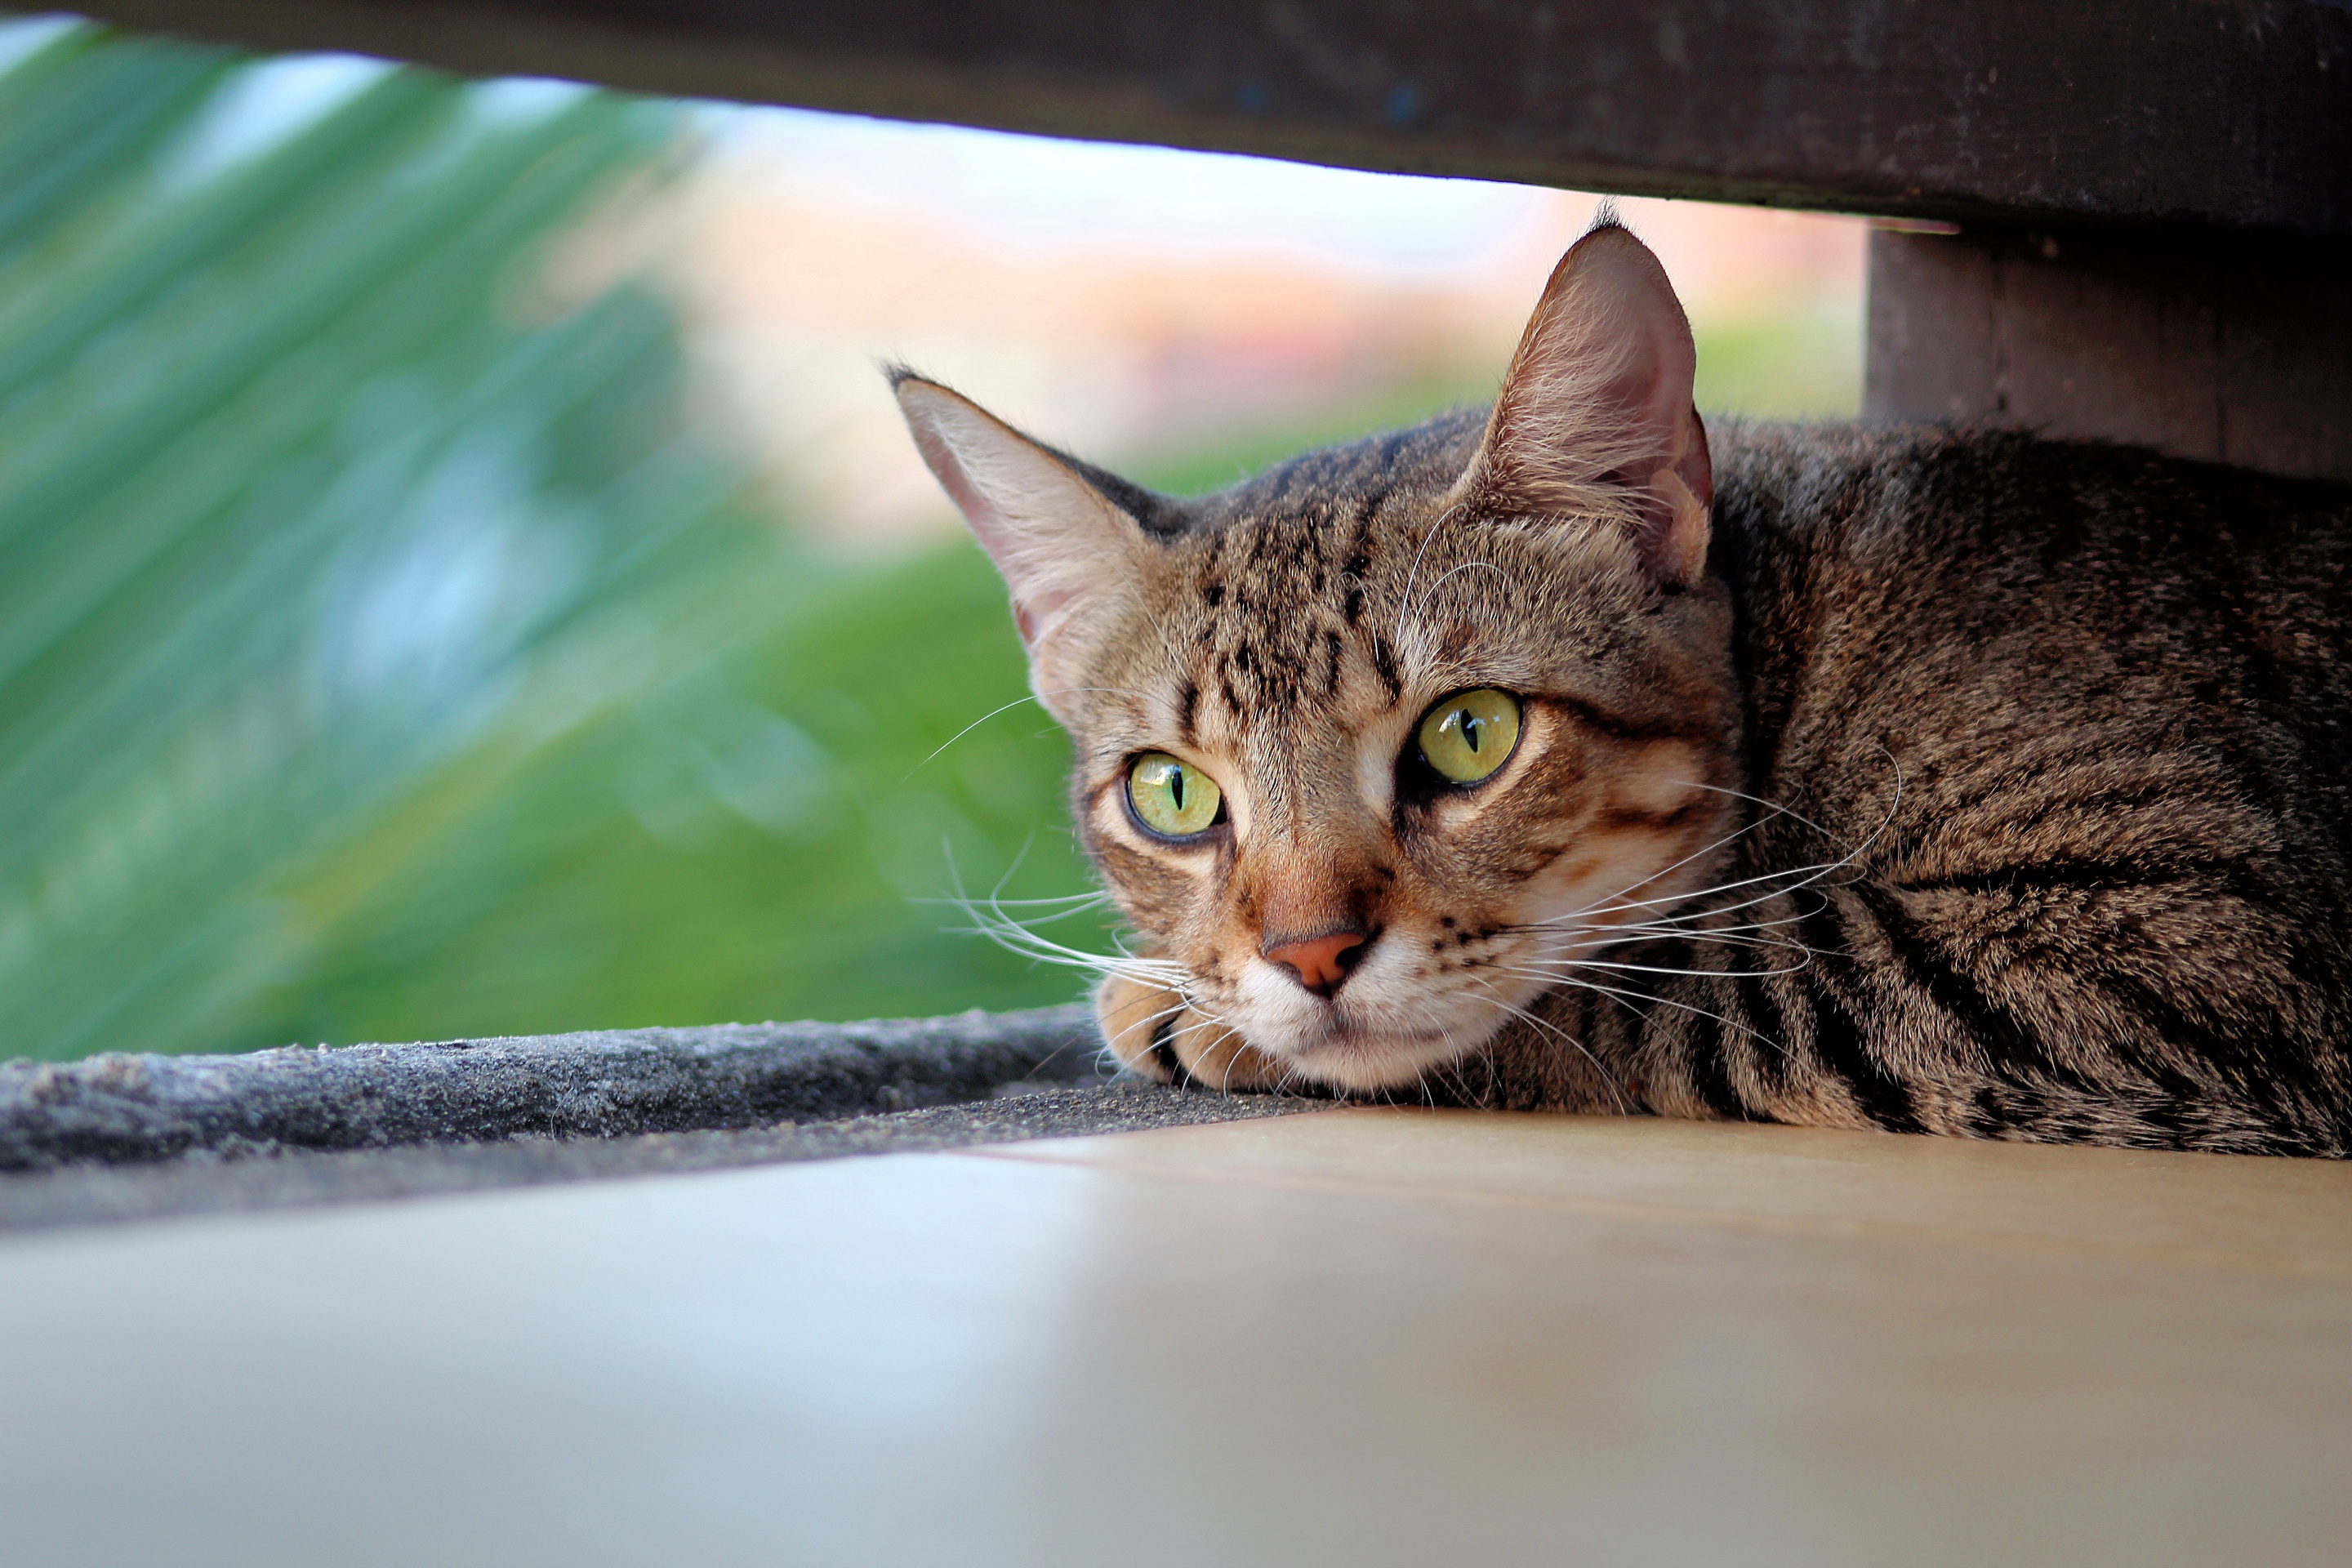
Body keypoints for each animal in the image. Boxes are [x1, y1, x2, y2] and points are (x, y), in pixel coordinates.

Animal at [884, 215, 2352, 1161]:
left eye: (1470, 736)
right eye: (1174, 796)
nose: (1306, 956)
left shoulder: (2181, 925)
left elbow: (1684, 985)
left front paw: (1176, 1009)